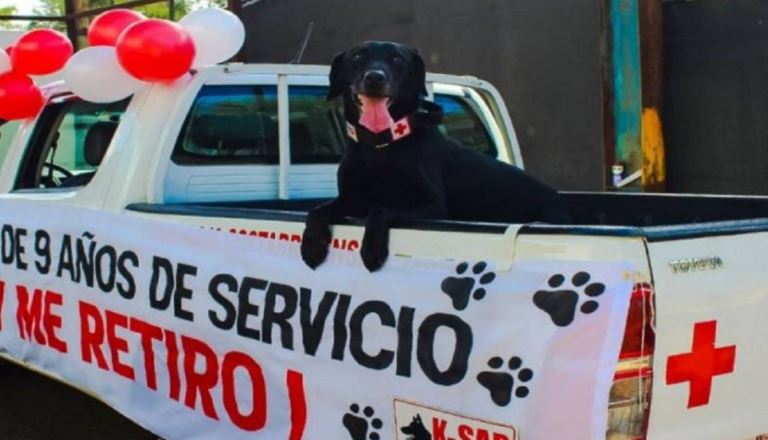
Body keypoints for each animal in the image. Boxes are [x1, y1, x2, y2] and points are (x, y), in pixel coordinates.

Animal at [304, 41, 568, 272]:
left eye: (397, 59)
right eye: (358, 56)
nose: (375, 78)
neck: (378, 147)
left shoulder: (433, 207)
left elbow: (381, 208)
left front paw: (372, 249)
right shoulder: (351, 200)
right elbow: (317, 210)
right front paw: (311, 245)